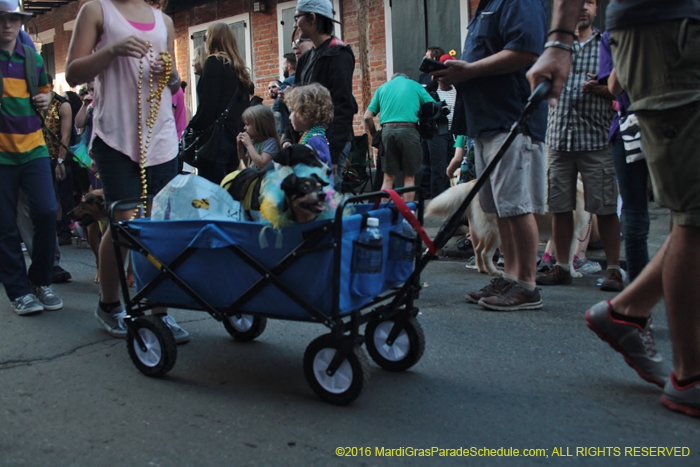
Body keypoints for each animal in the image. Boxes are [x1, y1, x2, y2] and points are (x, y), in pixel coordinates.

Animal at [426, 179, 592, 278]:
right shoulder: (571, 233)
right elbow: (569, 256)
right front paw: (571, 273)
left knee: (478, 249)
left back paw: (482, 269)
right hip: (497, 232)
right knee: (486, 253)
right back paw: (494, 271)